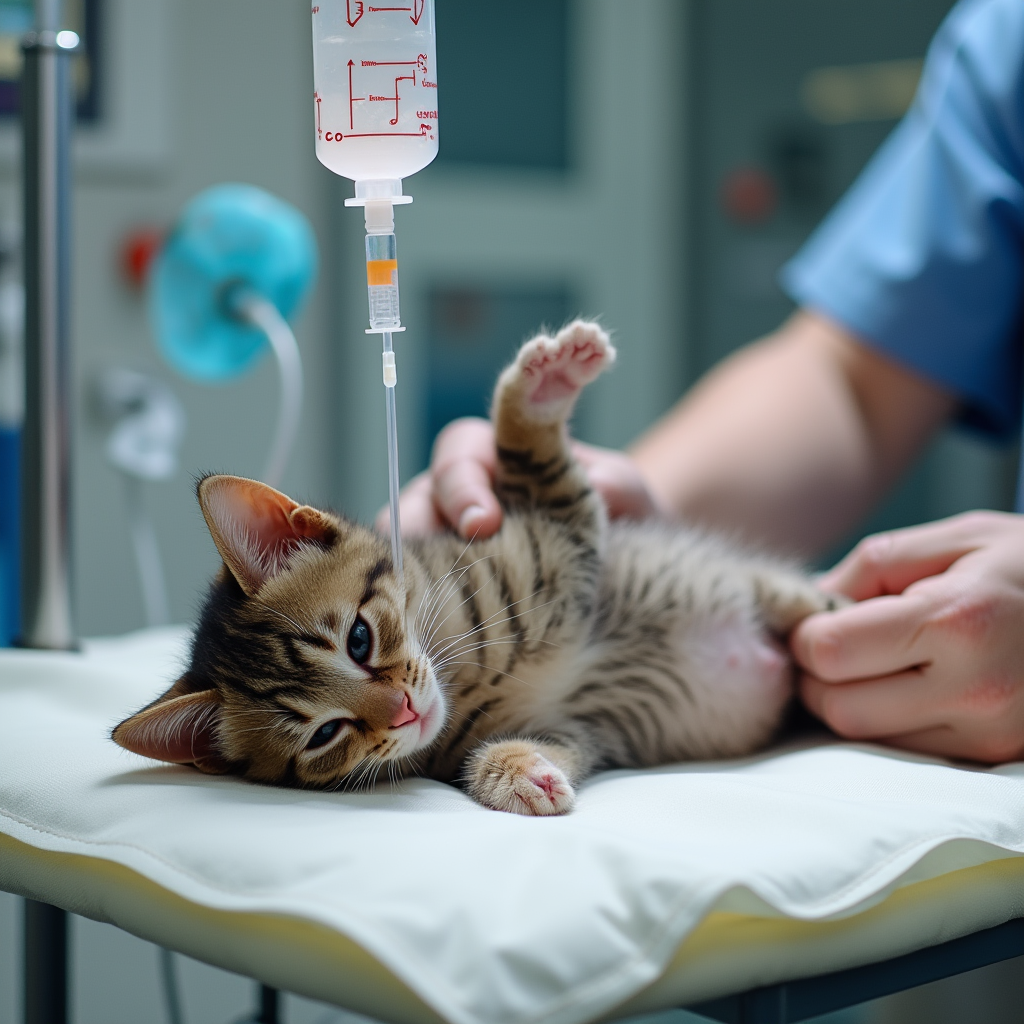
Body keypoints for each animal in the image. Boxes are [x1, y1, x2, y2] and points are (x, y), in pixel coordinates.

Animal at [114, 319, 831, 815]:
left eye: (358, 639)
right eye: (324, 735)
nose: (403, 711)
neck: (466, 672)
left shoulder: (560, 535)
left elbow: (533, 463)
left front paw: (538, 390)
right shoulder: (573, 725)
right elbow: (540, 747)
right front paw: (517, 773)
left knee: (790, 598)